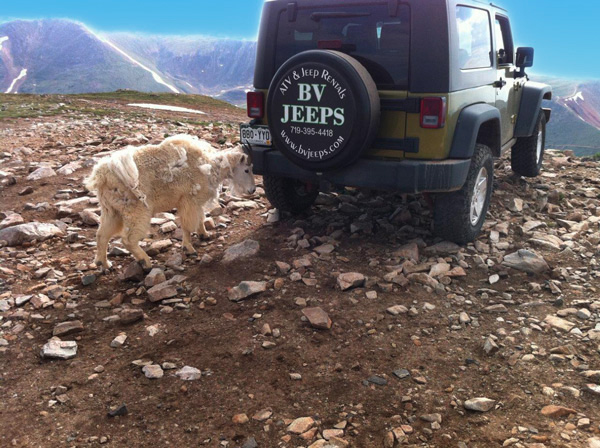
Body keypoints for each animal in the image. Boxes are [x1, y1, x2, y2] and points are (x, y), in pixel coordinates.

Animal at [85, 134, 254, 270]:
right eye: (247, 169)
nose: (252, 190)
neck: (212, 166)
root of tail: (102, 176)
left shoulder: (196, 203)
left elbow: (200, 219)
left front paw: (204, 235)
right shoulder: (189, 201)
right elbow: (187, 226)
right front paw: (189, 249)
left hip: (111, 210)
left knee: (102, 235)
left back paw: (104, 264)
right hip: (136, 210)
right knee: (128, 239)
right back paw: (145, 262)